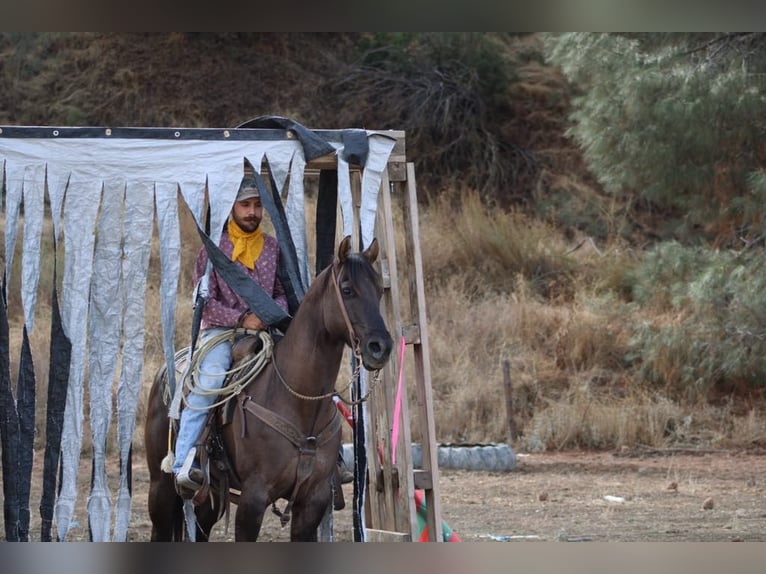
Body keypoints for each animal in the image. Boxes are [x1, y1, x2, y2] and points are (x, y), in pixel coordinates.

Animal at [144, 236, 392, 544]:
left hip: (210, 495)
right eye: (347, 290)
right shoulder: (253, 498)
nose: (380, 347)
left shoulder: (313, 500)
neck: (298, 399)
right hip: (160, 488)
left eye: (379, 291)